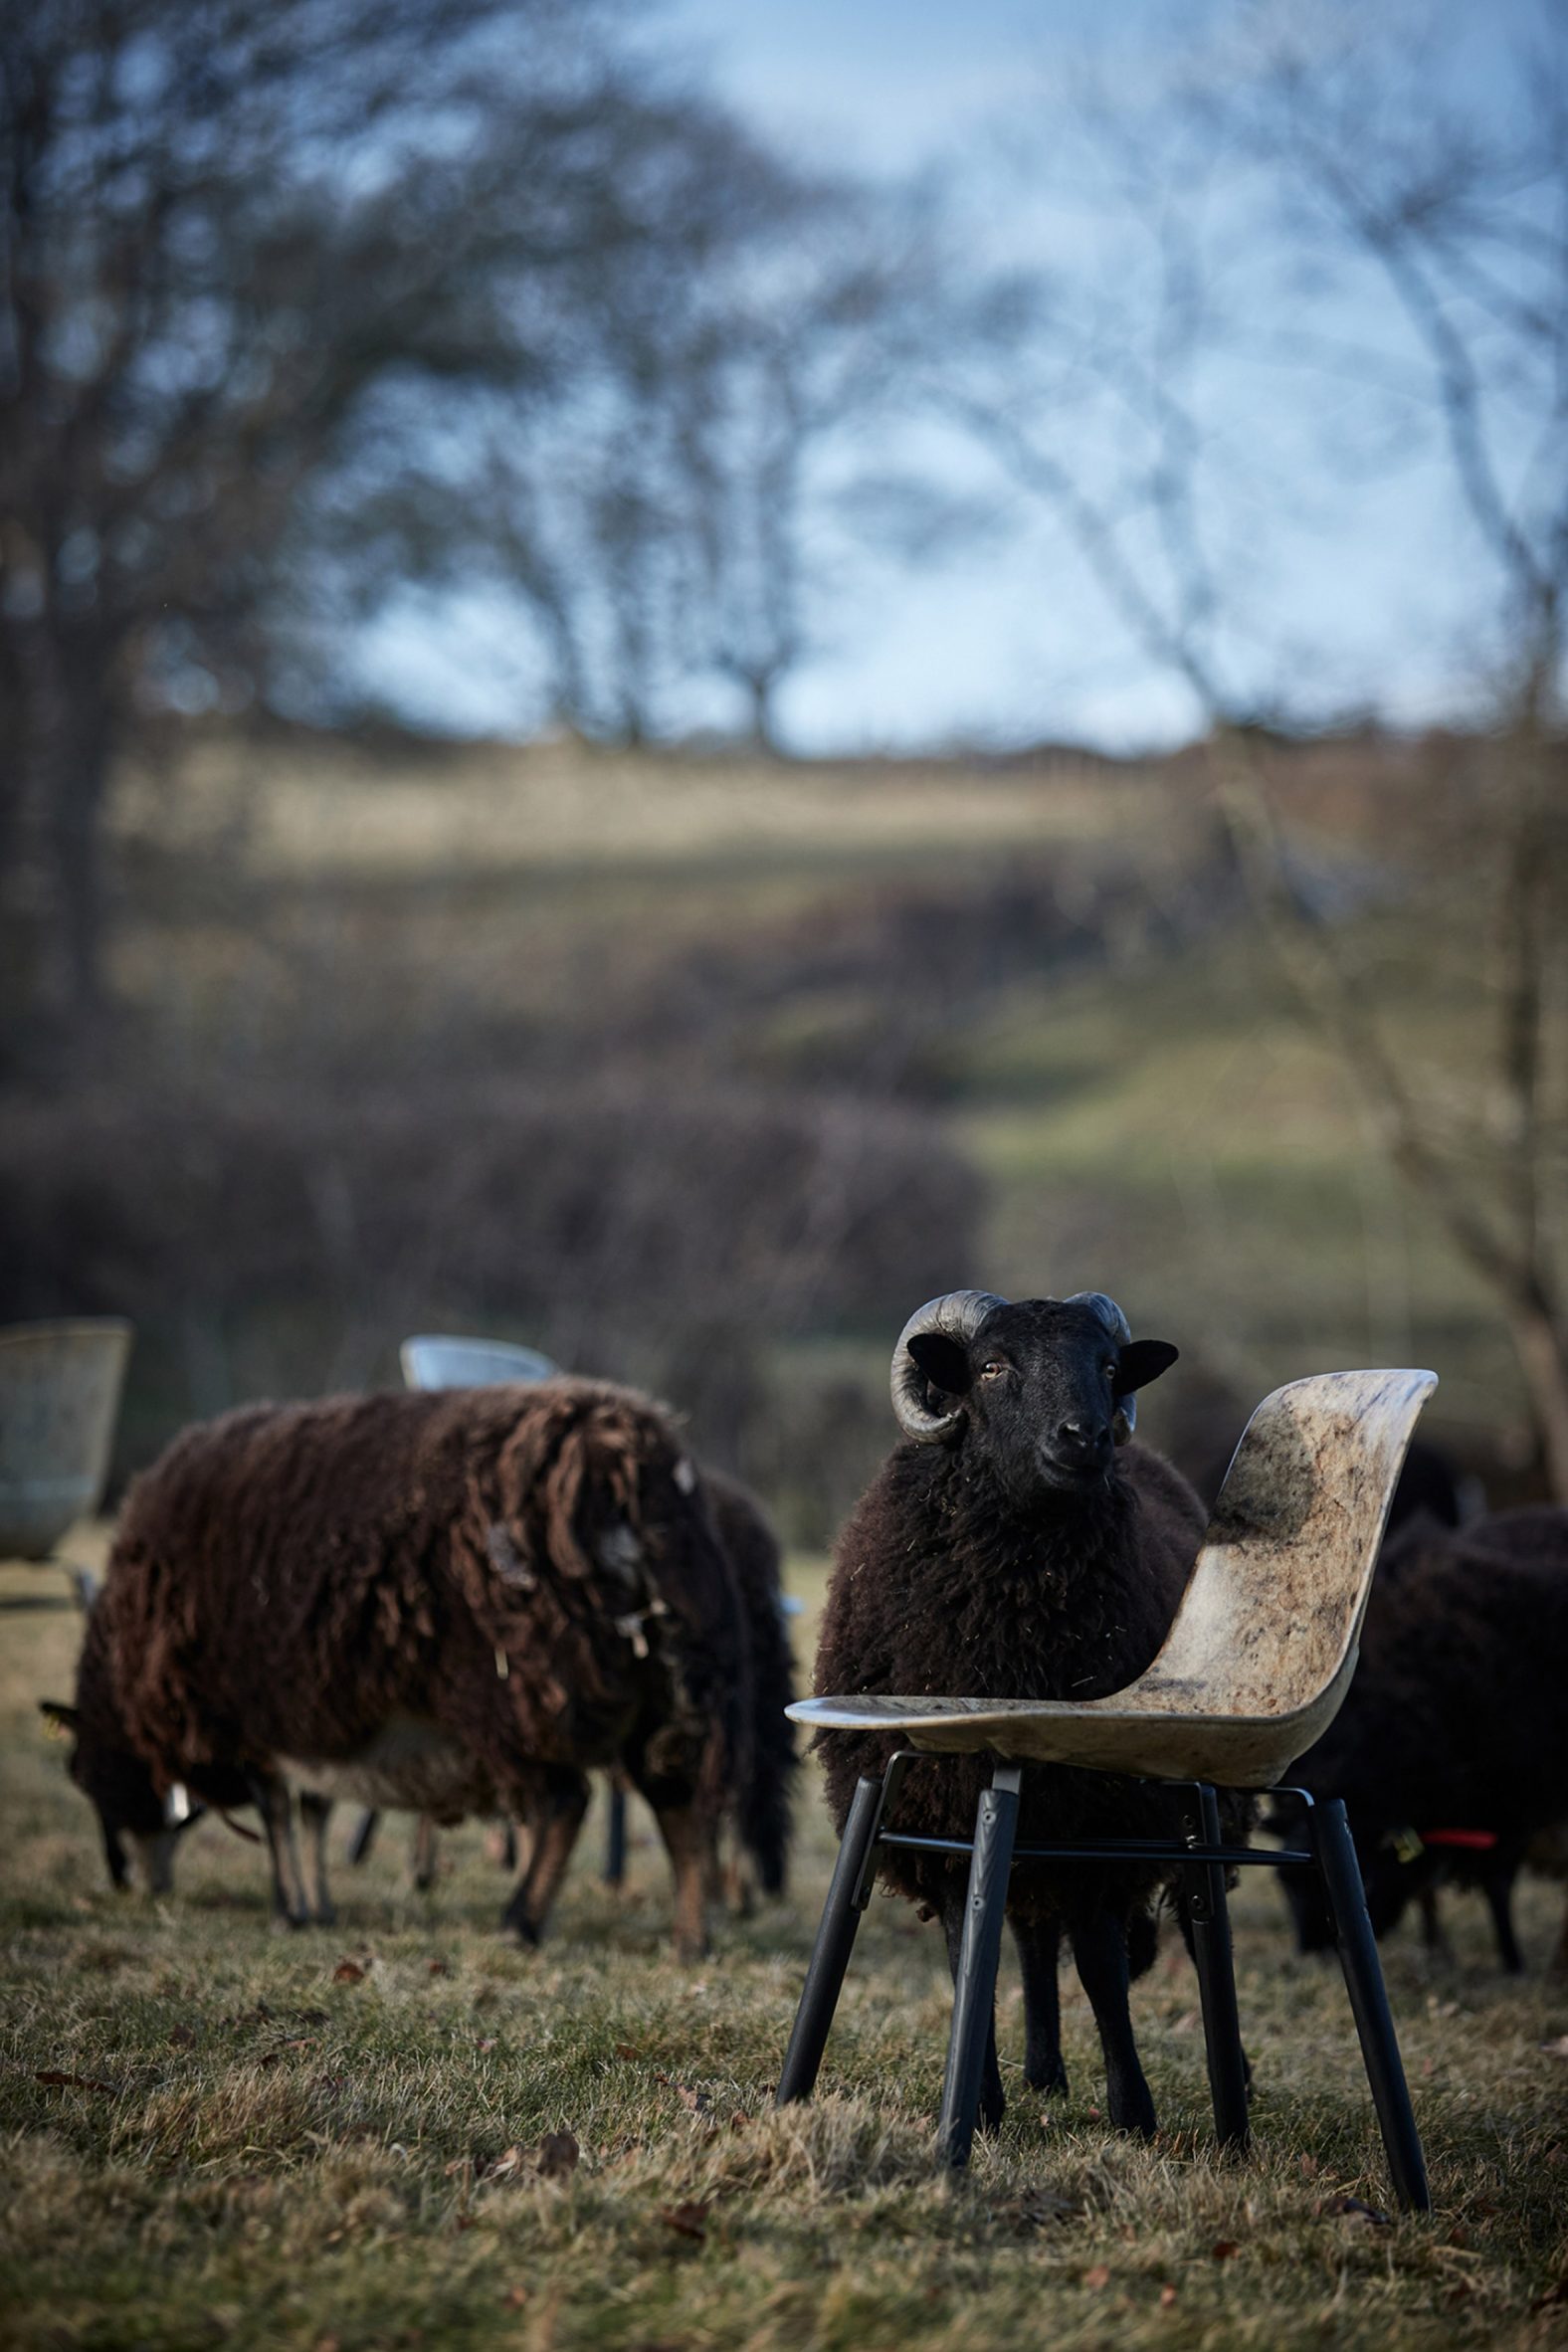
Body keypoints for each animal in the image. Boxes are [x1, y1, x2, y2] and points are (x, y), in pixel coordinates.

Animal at [52, 1373, 752, 1956]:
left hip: (512, 1684)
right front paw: (318, 1907)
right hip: (657, 1681)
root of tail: (630, 1460)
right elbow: (312, 1809)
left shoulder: (242, 1715)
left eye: (85, 1778)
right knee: (679, 1806)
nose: (131, 1886)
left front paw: (287, 1910)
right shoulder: (311, 1713)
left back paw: (519, 1924)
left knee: (565, 1802)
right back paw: (690, 1940)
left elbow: (276, 1812)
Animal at [818, 1297, 1222, 2144]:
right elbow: (966, 1951)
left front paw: (1132, 2112)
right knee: (1034, 1936)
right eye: (992, 1367)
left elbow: (1100, 1963)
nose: (1086, 1438)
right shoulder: (941, 1808)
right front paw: (982, 2105)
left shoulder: (1103, 1815)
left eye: (1109, 1365)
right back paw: (1042, 2071)